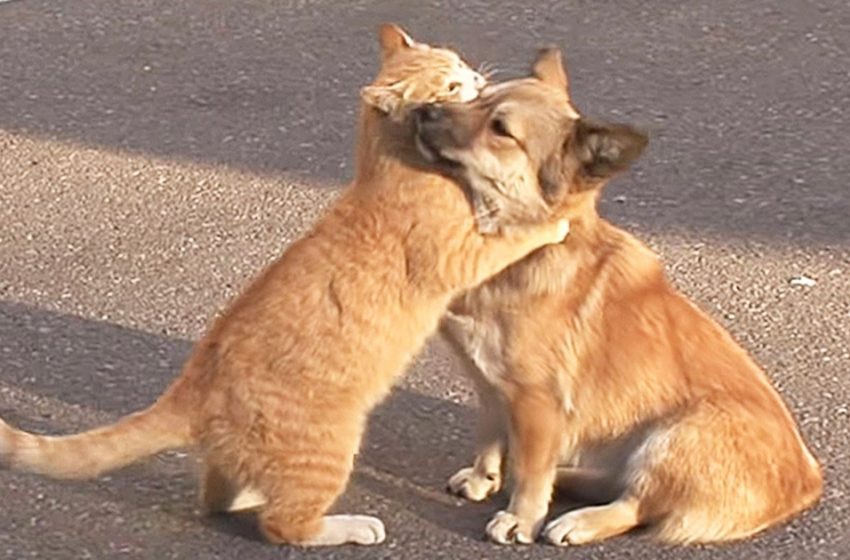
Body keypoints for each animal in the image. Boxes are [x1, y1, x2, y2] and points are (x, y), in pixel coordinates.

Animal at [1, 26, 568, 548]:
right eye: (451, 85)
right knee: (284, 526)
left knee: (216, 496)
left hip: (241, 463)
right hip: (330, 450)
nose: (479, 80)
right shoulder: (464, 254)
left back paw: (247, 494)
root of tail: (191, 388)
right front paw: (552, 222)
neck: (388, 162)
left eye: (461, 66)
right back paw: (350, 526)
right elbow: (515, 234)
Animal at [418, 48, 820, 548]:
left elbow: (531, 472)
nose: (424, 110)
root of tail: (807, 481)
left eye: (500, 129)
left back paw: (578, 520)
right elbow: (489, 439)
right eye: (478, 96)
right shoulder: (491, 386)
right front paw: (482, 478)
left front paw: (521, 518)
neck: (525, 249)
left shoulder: (537, 403)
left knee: (636, 504)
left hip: (675, 435)